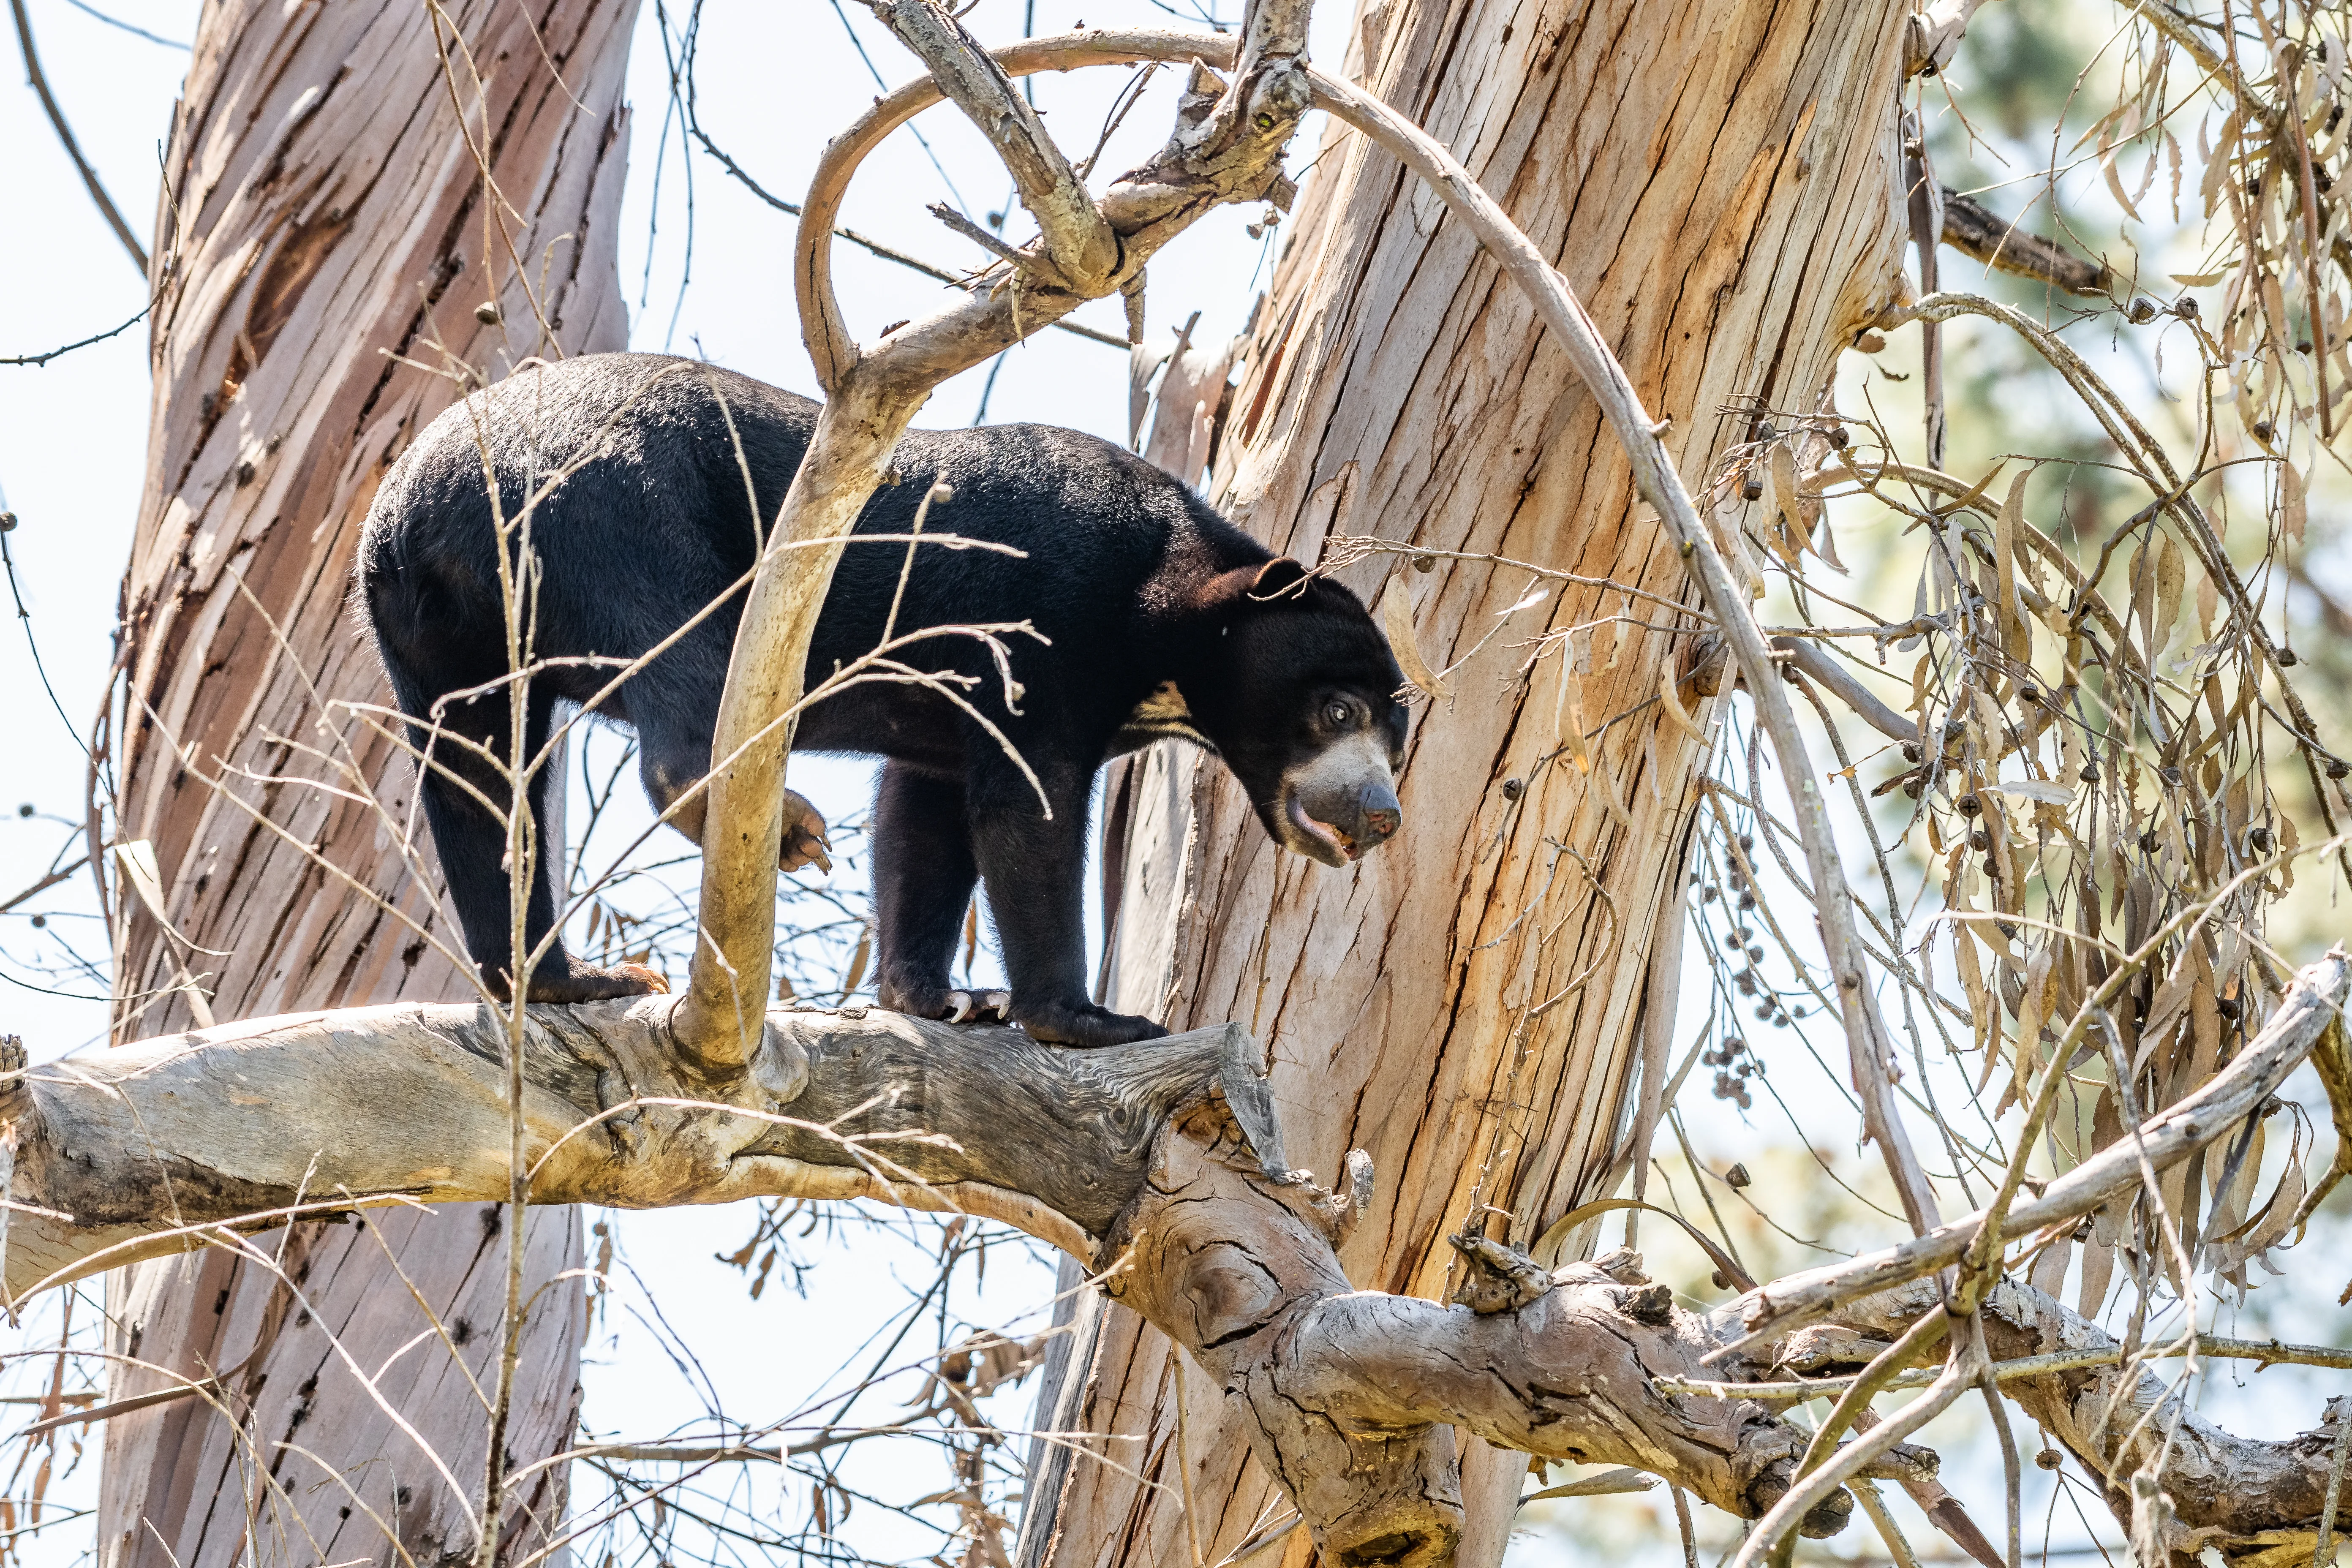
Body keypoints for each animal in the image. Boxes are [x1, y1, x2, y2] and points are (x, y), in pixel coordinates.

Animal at [357, 352, 1407, 1047]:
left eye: (1399, 737)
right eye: (1339, 712)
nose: (1382, 813)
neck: (1171, 616)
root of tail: (422, 498)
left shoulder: (954, 705)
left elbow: (924, 817)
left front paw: (940, 997)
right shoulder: (1050, 624)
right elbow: (1028, 812)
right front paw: (1093, 1018)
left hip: (432, 635)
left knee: (480, 783)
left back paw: (563, 980)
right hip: (612, 511)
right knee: (682, 662)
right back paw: (778, 826)